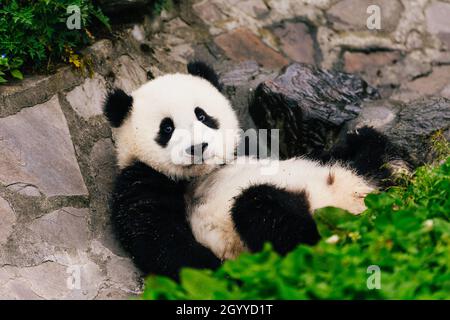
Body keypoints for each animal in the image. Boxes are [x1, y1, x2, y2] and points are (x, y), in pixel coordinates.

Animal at [103, 61, 396, 278]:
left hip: (356, 179)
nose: (198, 147)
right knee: (260, 208)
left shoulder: (250, 147)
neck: (203, 173)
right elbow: (158, 239)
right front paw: (216, 270)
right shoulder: (141, 179)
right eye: (167, 127)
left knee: (366, 156)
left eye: (202, 115)